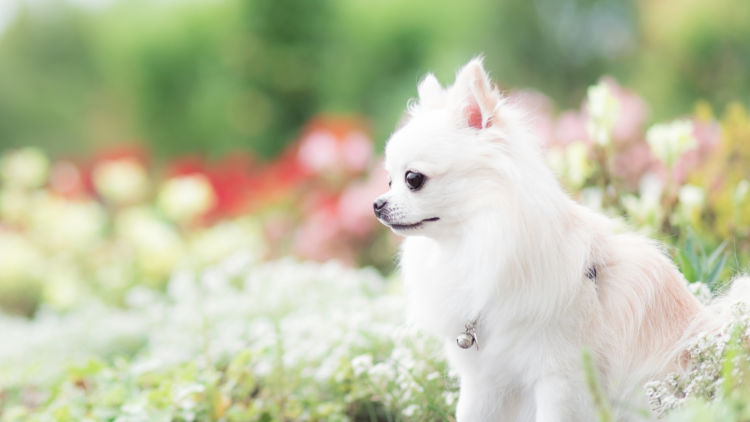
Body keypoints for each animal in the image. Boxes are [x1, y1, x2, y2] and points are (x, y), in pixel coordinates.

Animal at [374, 57, 748, 420]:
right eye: (389, 180)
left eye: (413, 179)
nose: (377, 204)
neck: (475, 243)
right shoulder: (486, 380)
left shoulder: (560, 377)